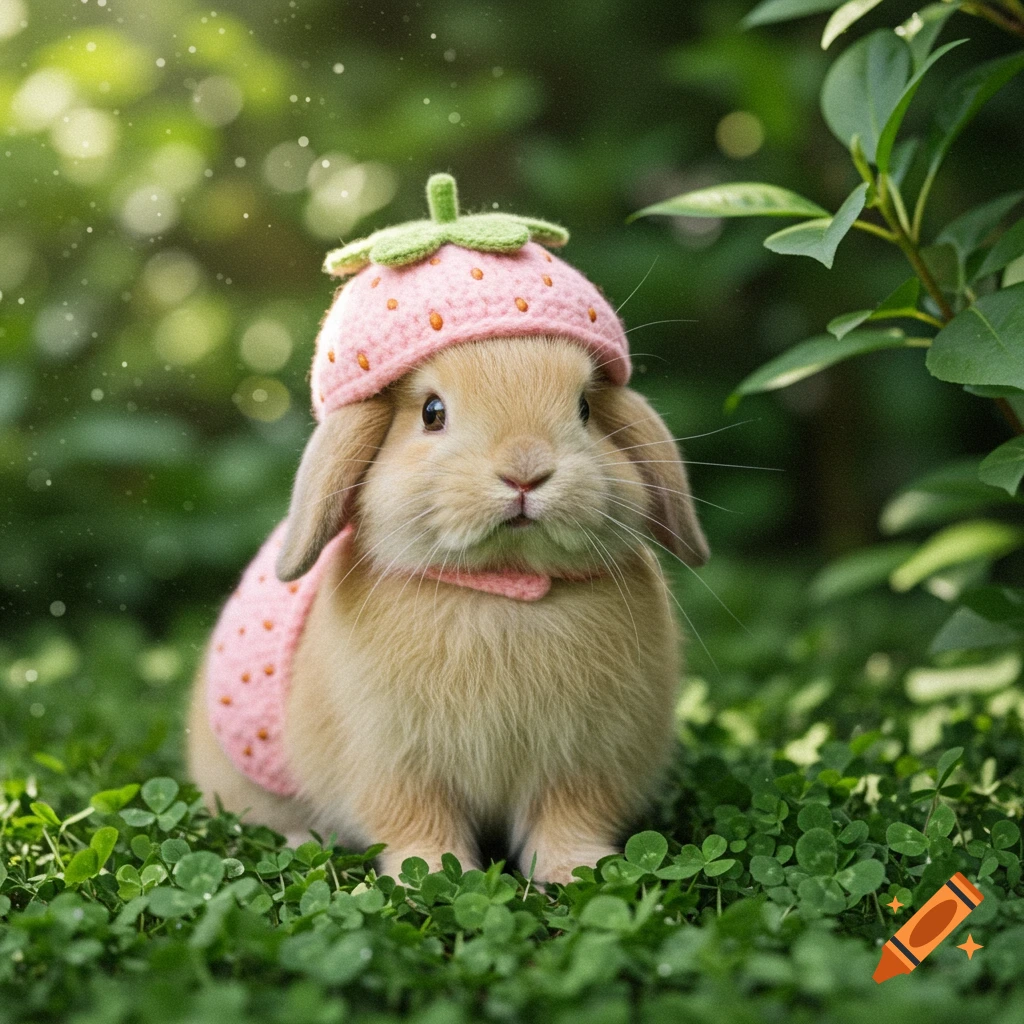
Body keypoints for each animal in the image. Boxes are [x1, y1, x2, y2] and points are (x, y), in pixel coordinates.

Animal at [187, 334, 708, 885]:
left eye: (585, 408)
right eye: (432, 413)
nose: (526, 470)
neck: (503, 587)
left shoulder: (583, 766)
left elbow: (568, 824)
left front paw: (580, 871)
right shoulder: (395, 768)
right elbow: (417, 827)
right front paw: (431, 875)